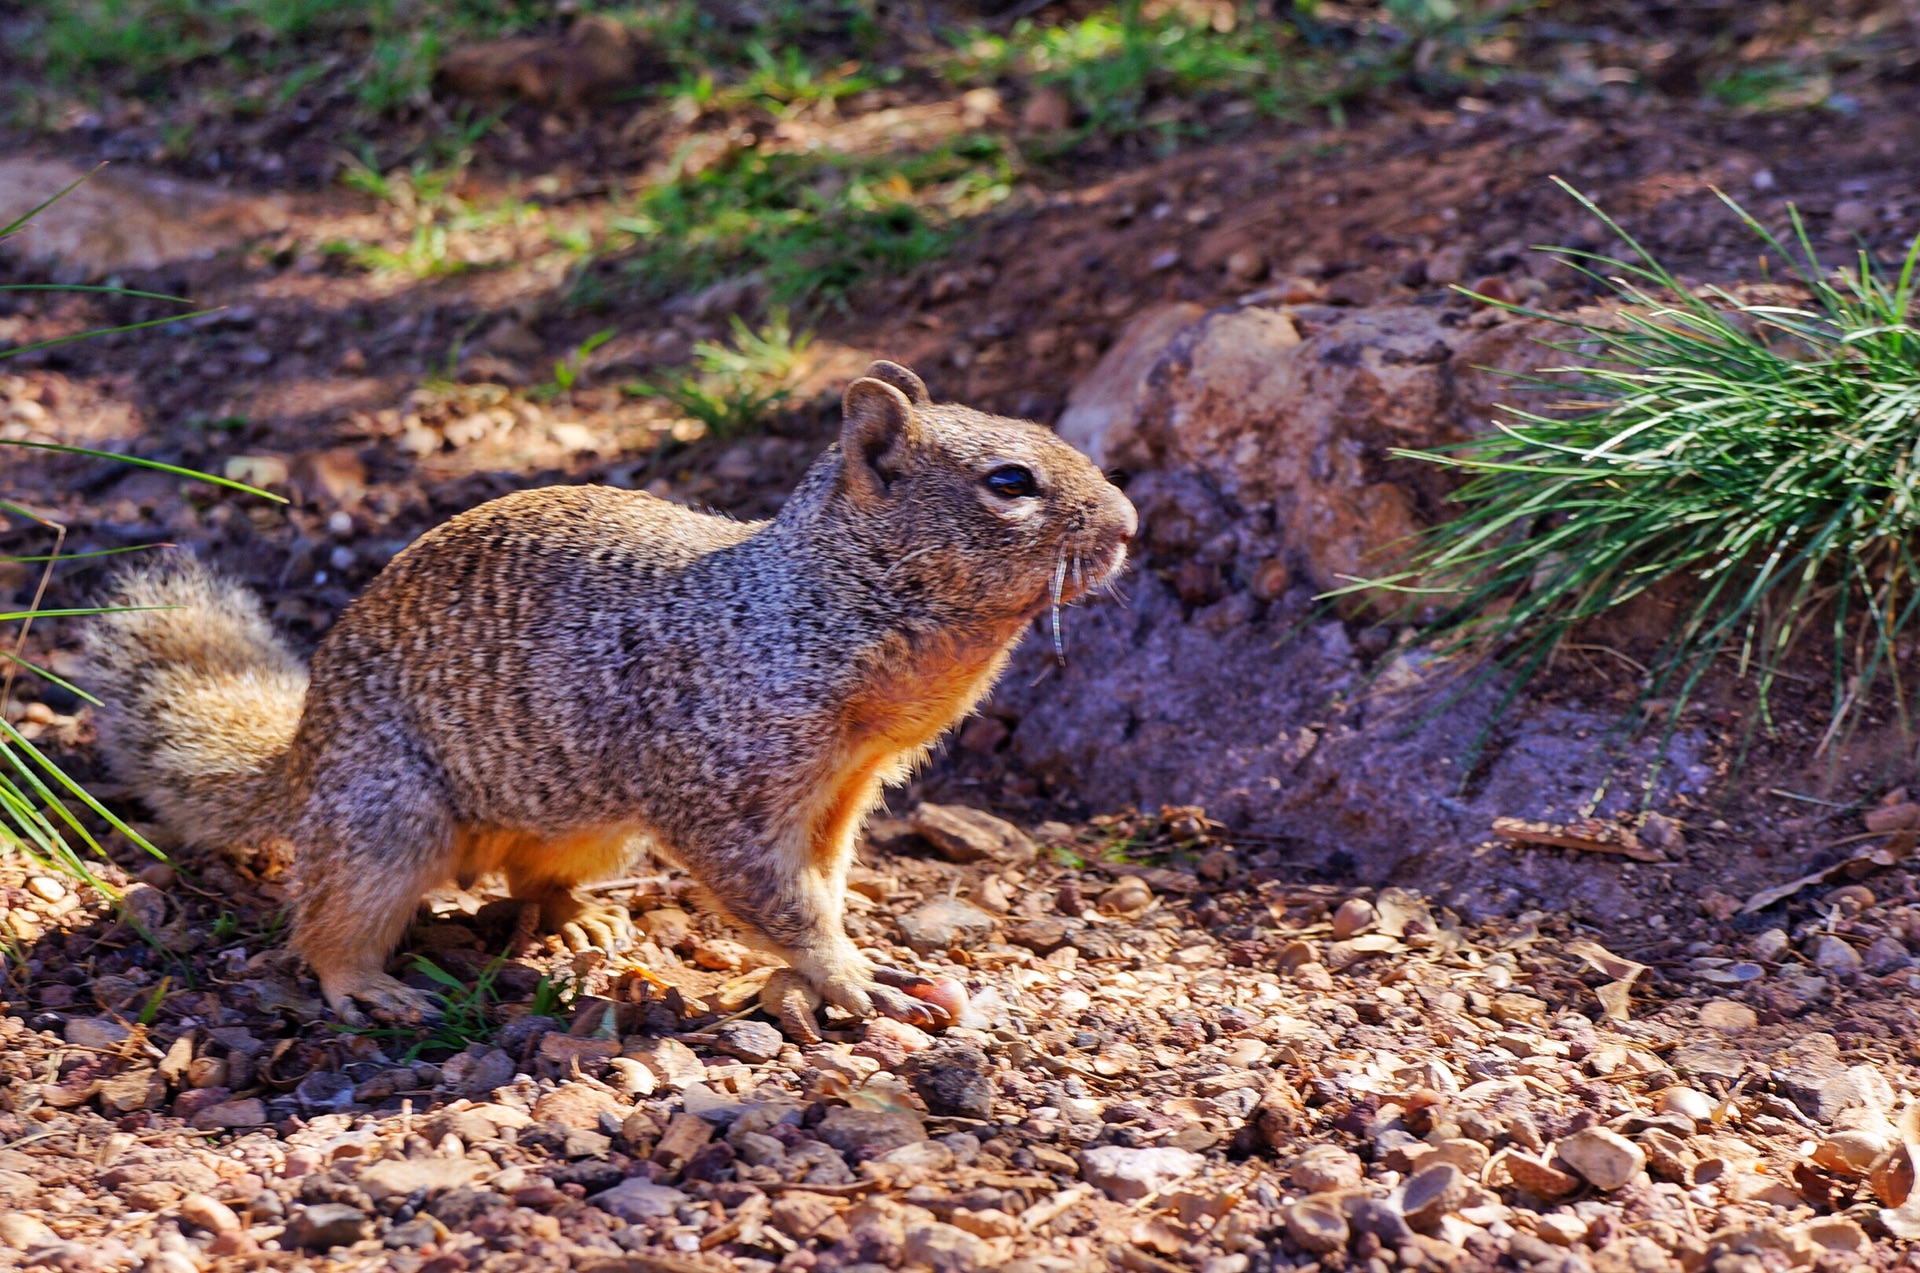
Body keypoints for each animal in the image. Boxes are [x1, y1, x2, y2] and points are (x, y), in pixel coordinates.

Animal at [90, 360, 1128, 1036]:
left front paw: (833, 966)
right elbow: (779, 896)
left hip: (590, 824)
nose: (1128, 523)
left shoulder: (842, 792)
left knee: (526, 877)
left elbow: (824, 884)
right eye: (1009, 481)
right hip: (383, 817)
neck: (820, 597)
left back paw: (577, 915)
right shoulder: (725, 782)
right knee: (331, 917)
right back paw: (369, 985)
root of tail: (302, 753)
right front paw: (849, 975)